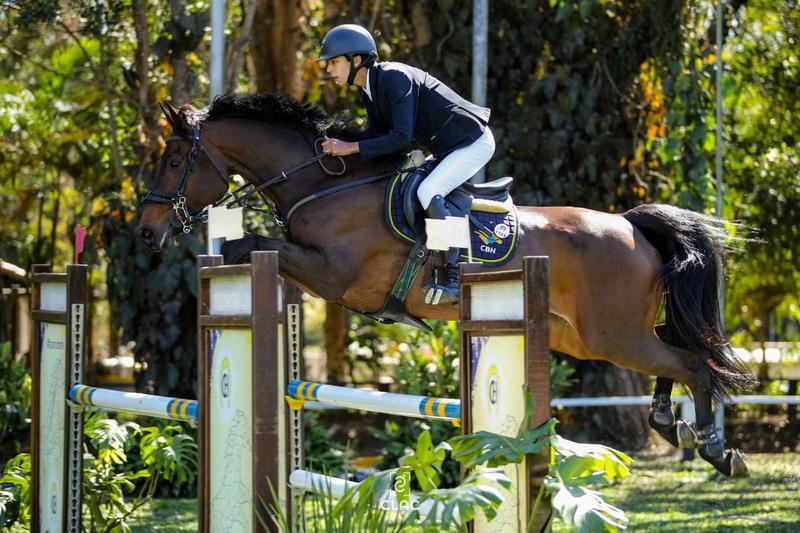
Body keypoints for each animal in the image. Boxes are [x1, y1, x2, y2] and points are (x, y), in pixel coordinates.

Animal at [138, 93, 756, 476]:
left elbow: (252, 245)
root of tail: (631, 225)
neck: (323, 184)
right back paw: (671, 424)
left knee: (693, 363)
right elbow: (250, 250)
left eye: (172, 159)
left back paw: (716, 449)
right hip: (587, 336)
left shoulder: (333, 276)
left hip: (612, 335)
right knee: (674, 354)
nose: (146, 231)